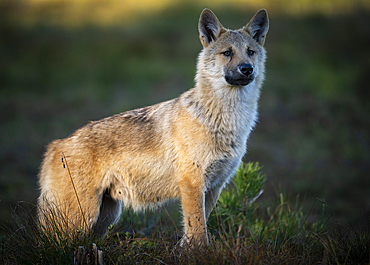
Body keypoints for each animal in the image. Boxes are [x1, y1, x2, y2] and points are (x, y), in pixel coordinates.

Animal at [37, 7, 268, 243]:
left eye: (250, 52)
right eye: (227, 53)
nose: (247, 69)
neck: (225, 121)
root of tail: (55, 145)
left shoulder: (214, 187)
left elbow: (192, 233)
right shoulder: (193, 184)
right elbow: (198, 234)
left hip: (104, 219)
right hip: (81, 220)